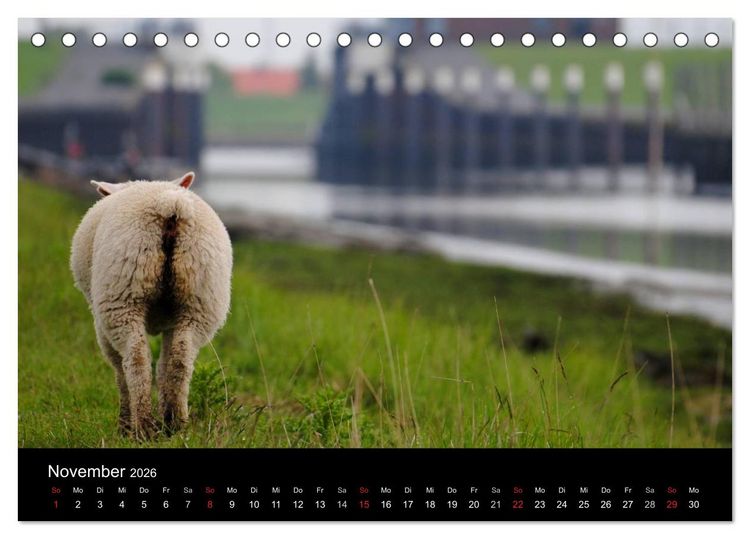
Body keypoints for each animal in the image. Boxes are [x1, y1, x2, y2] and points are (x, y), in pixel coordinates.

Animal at [70, 172, 233, 439]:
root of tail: (170, 207)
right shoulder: (171, 322)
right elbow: (165, 364)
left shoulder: (101, 324)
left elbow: (119, 368)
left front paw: (123, 425)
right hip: (199, 299)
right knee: (180, 360)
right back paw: (174, 423)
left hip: (123, 294)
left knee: (136, 360)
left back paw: (140, 426)